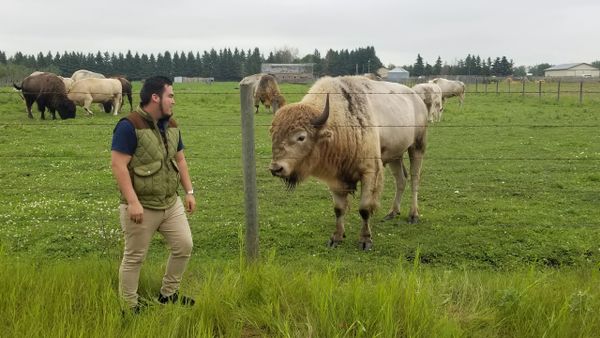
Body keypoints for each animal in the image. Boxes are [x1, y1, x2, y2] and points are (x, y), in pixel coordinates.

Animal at [270, 76, 428, 251]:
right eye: (273, 134)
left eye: (301, 137)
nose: (276, 168)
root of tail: (416, 97)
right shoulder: (335, 178)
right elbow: (339, 209)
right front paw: (336, 238)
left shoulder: (369, 173)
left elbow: (364, 209)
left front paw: (365, 240)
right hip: (395, 156)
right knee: (400, 180)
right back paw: (392, 213)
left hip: (417, 147)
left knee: (414, 179)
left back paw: (413, 215)